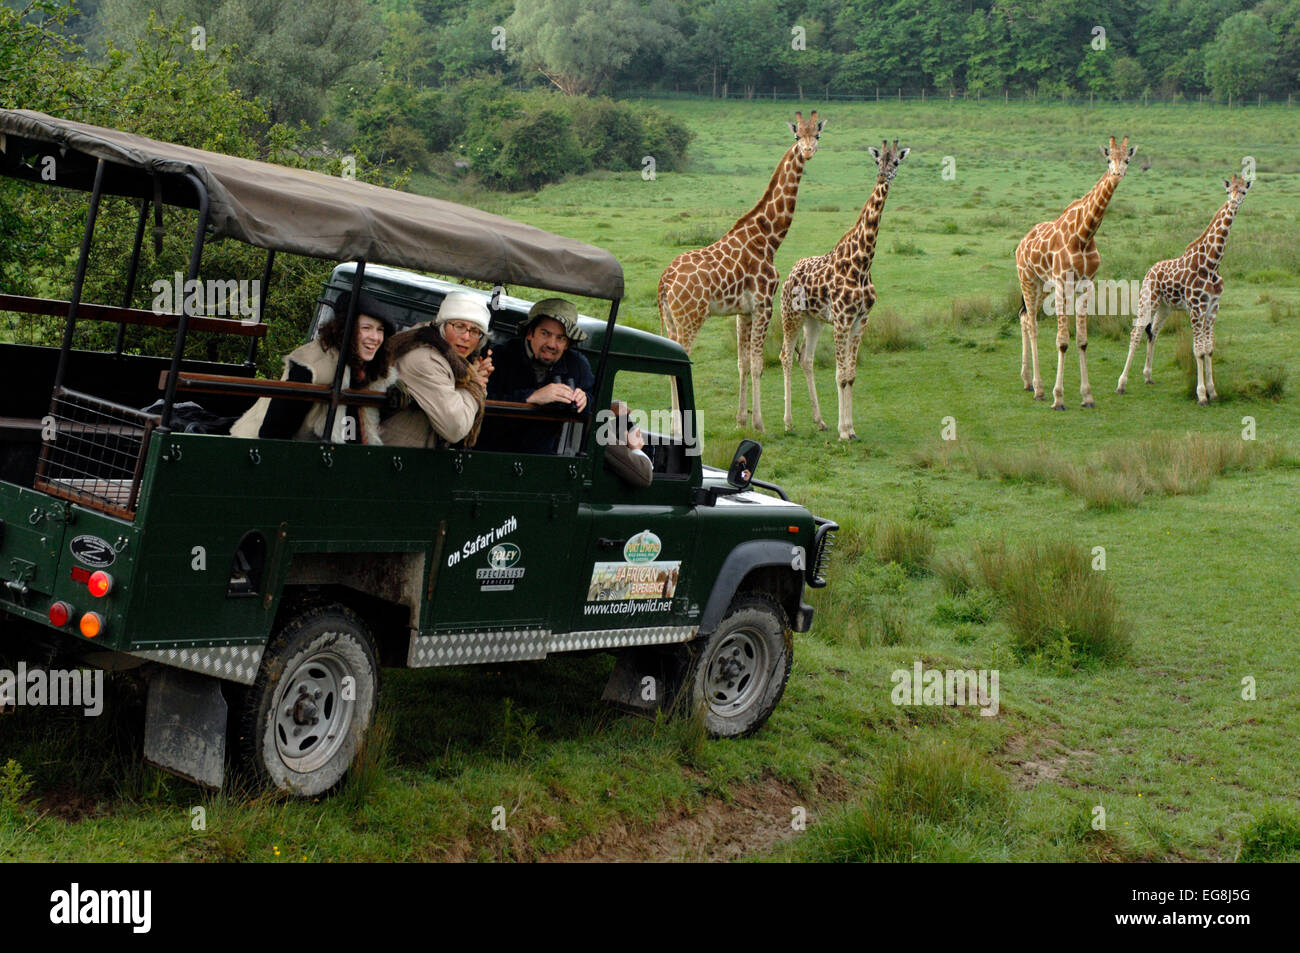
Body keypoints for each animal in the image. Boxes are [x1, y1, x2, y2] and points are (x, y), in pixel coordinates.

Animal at [655, 108, 826, 431]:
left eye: (818, 134)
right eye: (797, 134)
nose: (809, 150)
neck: (769, 237)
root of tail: (664, 282)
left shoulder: (743, 312)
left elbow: (743, 363)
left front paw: (741, 419)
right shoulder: (763, 304)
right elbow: (758, 364)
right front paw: (760, 423)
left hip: (670, 319)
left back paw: (672, 427)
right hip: (690, 318)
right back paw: (678, 428)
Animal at [774, 136, 909, 439]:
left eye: (896, 161)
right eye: (878, 160)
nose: (884, 176)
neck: (862, 264)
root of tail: (789, 274)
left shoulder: (860, 320)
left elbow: (850, 375)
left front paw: (849, 428)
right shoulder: (842, 320)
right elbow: (839, 374)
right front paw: (843, 431)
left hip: (813, 320)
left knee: (806, 359)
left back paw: (820, 421)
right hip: (791, 315)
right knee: (786, 356)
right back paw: (788, 423)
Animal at [1013, 131, 1138, 408]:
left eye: (1127, 159)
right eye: (1108, 160)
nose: (1117, 174)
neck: (1084, 234)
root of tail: (1021, 243)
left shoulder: (1086, 284)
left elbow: (1082, 340)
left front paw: (1087, 396)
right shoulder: (1062, 283)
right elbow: (1062, 341)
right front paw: (1058, 397)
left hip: (1042, 285)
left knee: (1025, 317)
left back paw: (1027, 381)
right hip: (1027, 278)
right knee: (1032, 324)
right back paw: (1039, 389)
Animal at [1118, 174, 1248, 400]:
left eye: (1243, 191)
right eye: (1228, 190)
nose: (1233, 203)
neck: (1211, 264)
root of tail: (1150, 269)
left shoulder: (1213, 308)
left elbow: (1209, 348)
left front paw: (1213, 391)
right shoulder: (1196, 308)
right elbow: (1198, 350)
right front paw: (1202, 394)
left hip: (1165, 307)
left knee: (1153, 332)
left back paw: (1148, 376)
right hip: (1148, 299)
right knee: (1136, 333)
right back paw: (1121, 384)